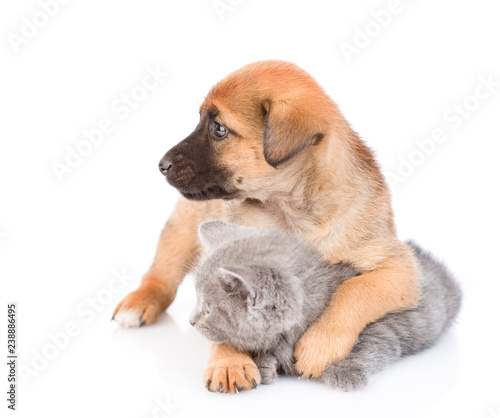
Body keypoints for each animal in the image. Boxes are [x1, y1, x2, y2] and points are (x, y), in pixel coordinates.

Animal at [113, 60, 422, 394]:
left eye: (219, 129)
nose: (161, 165)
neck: (290, 211)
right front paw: (229, 361)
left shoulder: (400, 268)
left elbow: (355, 290)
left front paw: (321, 344)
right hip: (183, 229)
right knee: (161, 275)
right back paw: (139, 302)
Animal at [189, 220, 462, 390]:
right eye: (197, 300)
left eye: (208, 307)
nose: (190, 321)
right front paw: (263, 364)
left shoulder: (388, 321)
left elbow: (371, 343)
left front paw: (346, 370)